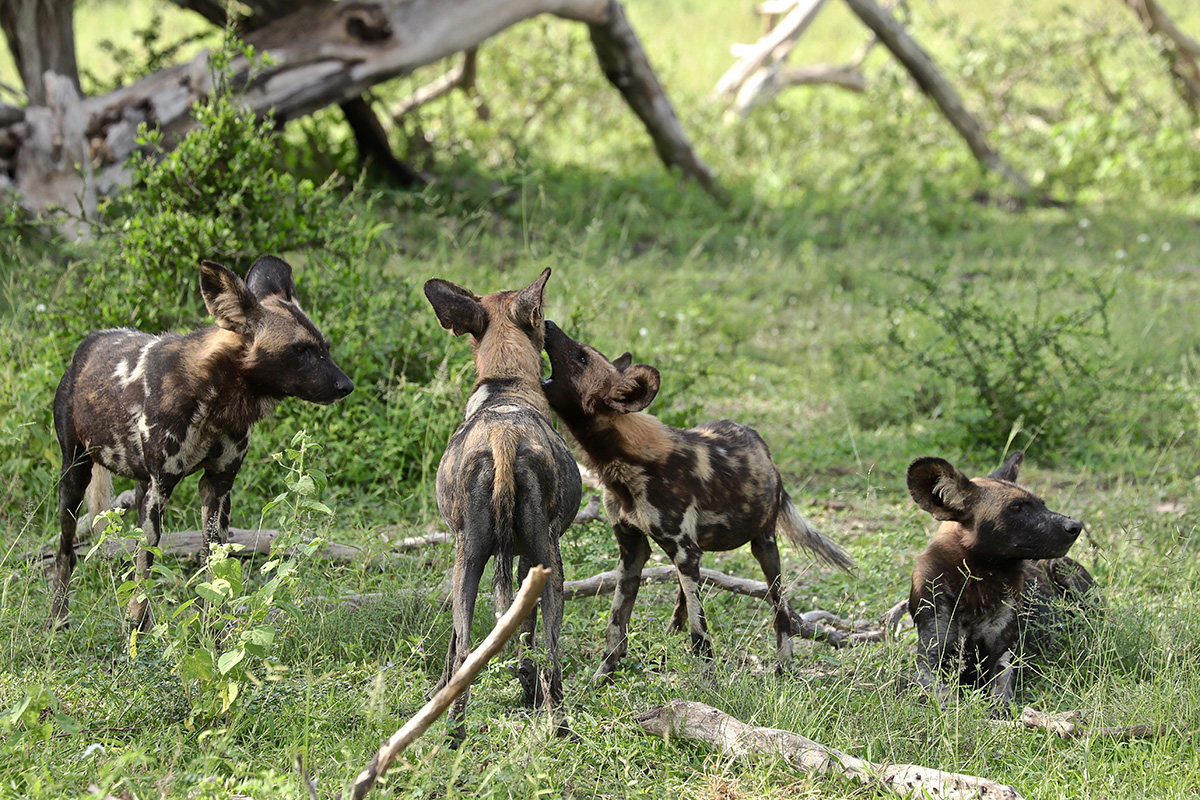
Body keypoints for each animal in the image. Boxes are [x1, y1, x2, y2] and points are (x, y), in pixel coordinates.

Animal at [51, 256, 350, 633]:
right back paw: (58, 621)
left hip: (140, 486)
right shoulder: (161, 488)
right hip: (75, 476)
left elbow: (213, 568)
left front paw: (214, 633)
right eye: (300, 350)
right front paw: (135, 634)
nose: (346, 385)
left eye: (324, 347)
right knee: (66, 552)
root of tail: (87, 344)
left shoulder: (217, 488)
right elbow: (147, 565)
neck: (216, 399)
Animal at [424, 268, 583, 738]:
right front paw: (527, 691)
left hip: (469, 561)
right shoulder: (525, 560)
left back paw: (454, 733)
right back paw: (558, 724)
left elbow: (462, 644)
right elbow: (526, 639)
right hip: (548, 564)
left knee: (463, 651)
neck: (506, 384)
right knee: (549, 655)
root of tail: (504, 435)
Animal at [540, 321, 859, 681]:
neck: (623, 463)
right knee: (686, 594)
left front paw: (709, 685)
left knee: (780, 612)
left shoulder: (682, 549)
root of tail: (759, 440)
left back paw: (784, 667)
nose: (548, 323)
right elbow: (616, 625)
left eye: (581, 356)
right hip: (697, 553)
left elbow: (700, 635)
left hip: (764, 547)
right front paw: (601, 677)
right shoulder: (634, 550)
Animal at [907, 450, 1099, 714]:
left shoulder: (1004, 655)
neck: (977, 584)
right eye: (1016, 507)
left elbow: (1002, 688)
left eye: (1042, 504)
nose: (1075, 526)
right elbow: (941, 692)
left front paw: (999, 709)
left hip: (1063, 570)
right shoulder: (929, 660)